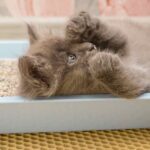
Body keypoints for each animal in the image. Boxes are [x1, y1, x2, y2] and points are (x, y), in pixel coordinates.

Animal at [18, 11, 150, 98]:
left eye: (71, 42)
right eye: (72, 58)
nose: (91, 46)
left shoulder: (124, 47)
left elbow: (118, 36)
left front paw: (80, 25)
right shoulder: (139, 79)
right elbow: (123, 86)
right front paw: (102, 63)